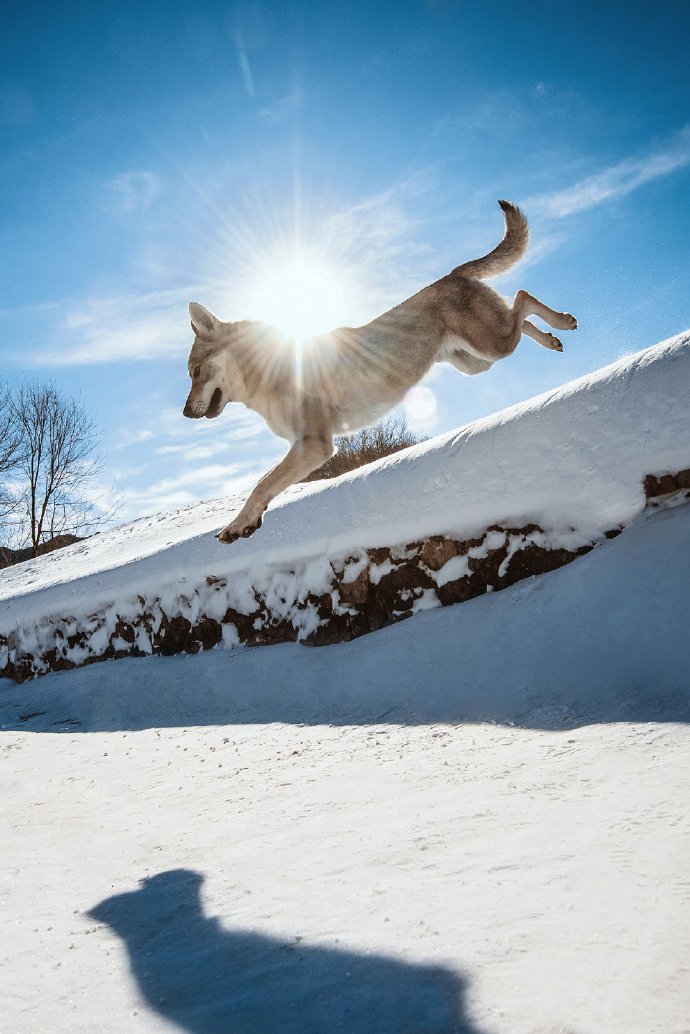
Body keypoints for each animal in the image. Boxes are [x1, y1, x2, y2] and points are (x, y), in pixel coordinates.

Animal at [182, 196, 579, 545]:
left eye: (195, 371)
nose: (185, 412)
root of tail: (451, 274)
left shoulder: (315, 445)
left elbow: (261, 484)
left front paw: (236, 525)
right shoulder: (305, 446)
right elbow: (266, 482)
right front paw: (247, 525)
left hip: (491, 347)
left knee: (524, 298)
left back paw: (563, 321)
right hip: (478, 362)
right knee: (521, 313)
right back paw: (553, 339)